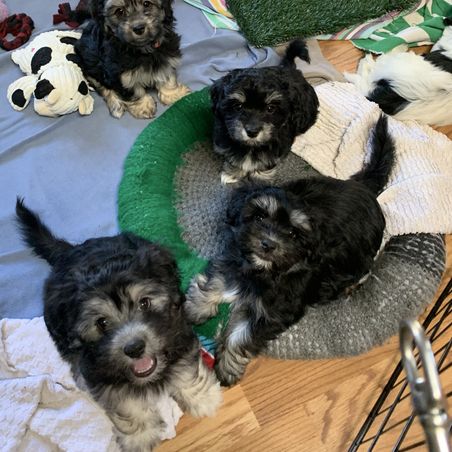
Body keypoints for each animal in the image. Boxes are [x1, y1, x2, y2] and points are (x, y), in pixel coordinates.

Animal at [15, 199, 222, 451]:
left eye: (144, 303)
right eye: (101, 323)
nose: (134, 348)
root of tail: (68, 252)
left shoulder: (177, 332)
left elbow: (185, 369)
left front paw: (203, 397)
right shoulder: (99, 373)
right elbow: (124, 401)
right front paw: (139, 436)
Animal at [184, 115, 395, 386]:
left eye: (294, 234)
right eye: (260, 216)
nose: (268, 244)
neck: (265, 270)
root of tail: (366, 189)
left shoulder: (274, 311)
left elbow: (242, 335)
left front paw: (228, 366)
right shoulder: (235, 260)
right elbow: (216, 281)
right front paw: (197, 307)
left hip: (361, 257)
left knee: (362, 270)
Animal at [210, 39, 319, 184]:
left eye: (270, 109)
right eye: (238, 106)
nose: (252, 131)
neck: (251, 146)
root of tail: (291, 69)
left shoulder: (278, 145)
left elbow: (267, 160)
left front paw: (260, 177)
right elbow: (232, 157)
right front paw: (232, 173)